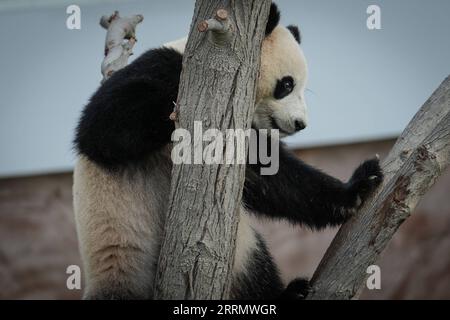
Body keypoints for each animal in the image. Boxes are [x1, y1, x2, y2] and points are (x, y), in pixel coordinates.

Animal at [74, 3, 384, 300]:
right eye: (287, 84)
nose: (300, 124)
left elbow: (274, 179)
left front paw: (358, 187)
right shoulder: (158, 65)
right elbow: (101, 129)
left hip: (238, 254)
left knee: (253, 264)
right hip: (125, 252)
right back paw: (289, 293)